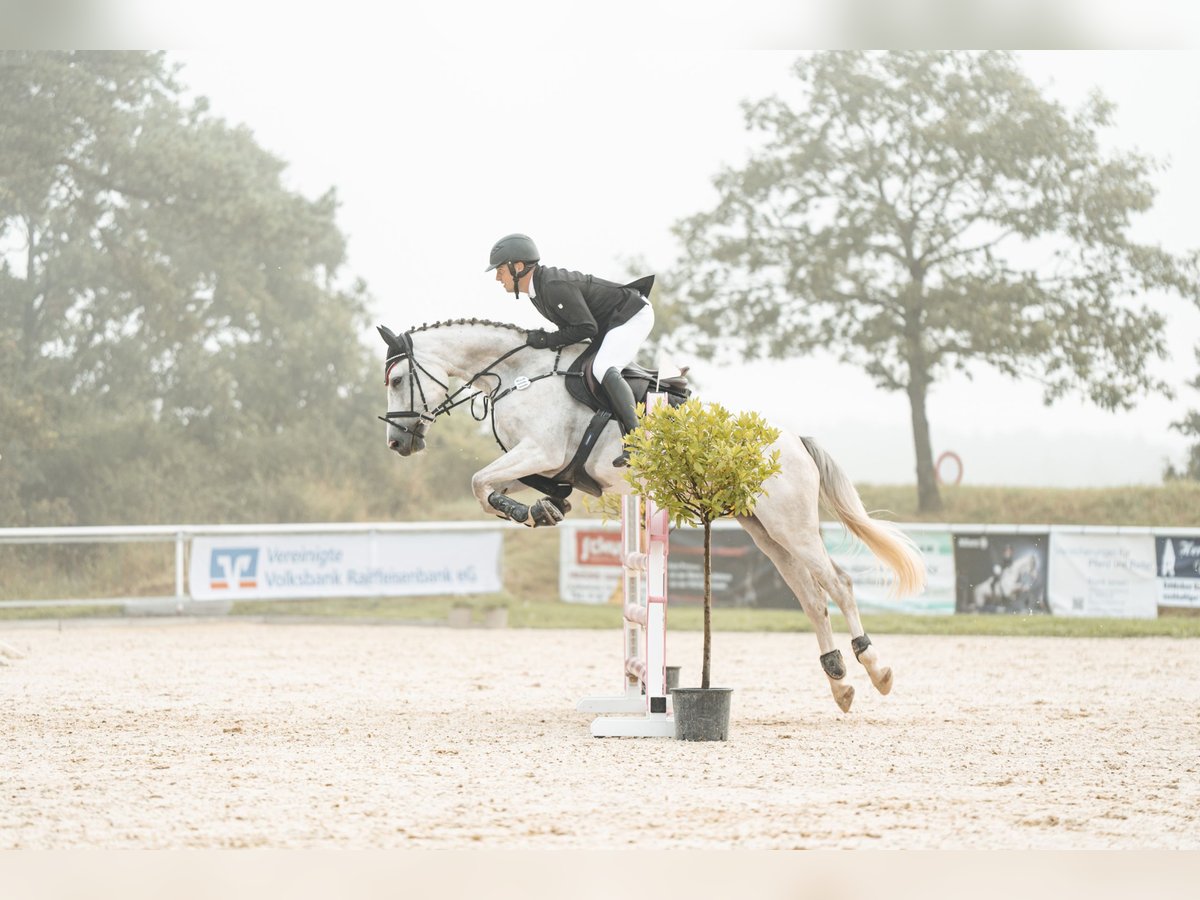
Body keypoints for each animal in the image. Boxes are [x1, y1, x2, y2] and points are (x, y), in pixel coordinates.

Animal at [379, 321, 921, 715]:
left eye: (398, 380)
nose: (398, 443)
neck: (519, 373)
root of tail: (793, 439)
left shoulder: (539, 450)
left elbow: (477, 482)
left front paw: (534, 510)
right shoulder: (538, 461)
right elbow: (492, 486)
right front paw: (543, 508)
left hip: (791, 524)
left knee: (839, 584)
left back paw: (876, 668)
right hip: (765, 530)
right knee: (811, 597)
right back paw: (840, 684)